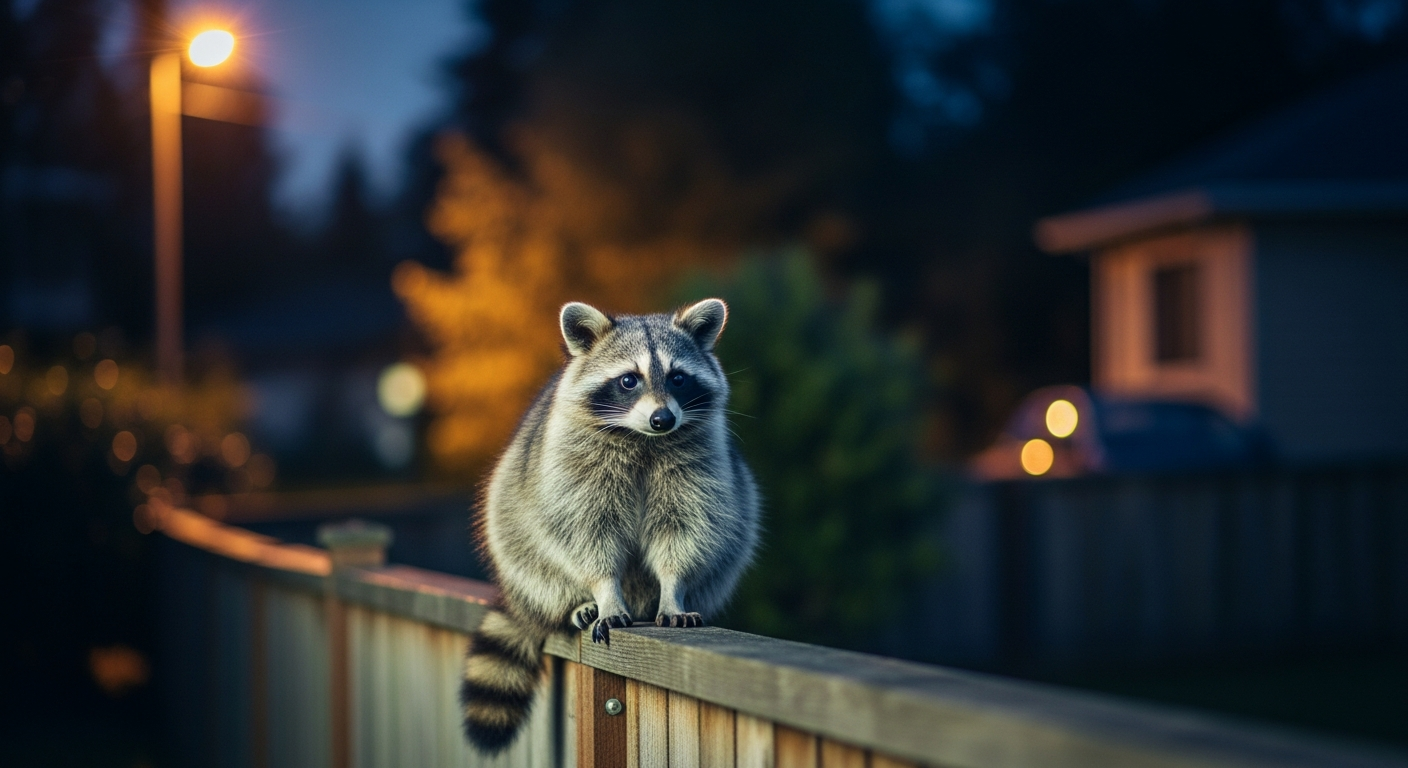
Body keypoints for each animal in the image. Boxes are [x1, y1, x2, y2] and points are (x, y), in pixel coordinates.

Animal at [460, 298, 760, 753]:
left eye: (678, 377)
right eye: (628, 380)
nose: (662, 419)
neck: (644, 439)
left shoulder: (697, 465)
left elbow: (685, 531)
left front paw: (673, 591)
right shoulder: (574, 466)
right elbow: (587, 534)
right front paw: (605, 593)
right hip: (513, 524)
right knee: (532, 551)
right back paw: (575, 603)